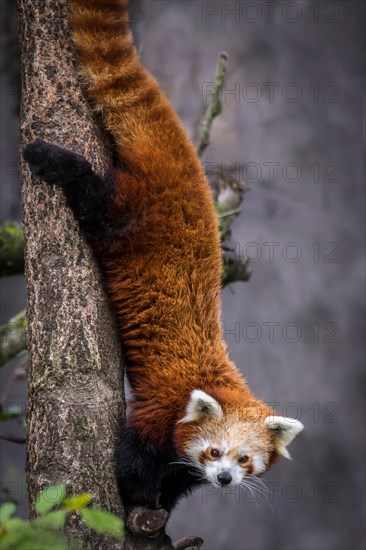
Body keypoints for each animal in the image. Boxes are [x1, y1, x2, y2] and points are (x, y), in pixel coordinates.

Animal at [23, 0, 304, 512]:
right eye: (215, 451)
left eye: (244, 460)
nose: (225, 480)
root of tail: (184, 165)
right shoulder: (161, 404)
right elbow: (132, 460)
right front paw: (138, 502)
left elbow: (177, 479)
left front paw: (160, 513)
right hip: (129, 213)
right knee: (93, 194)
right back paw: (54, 160)